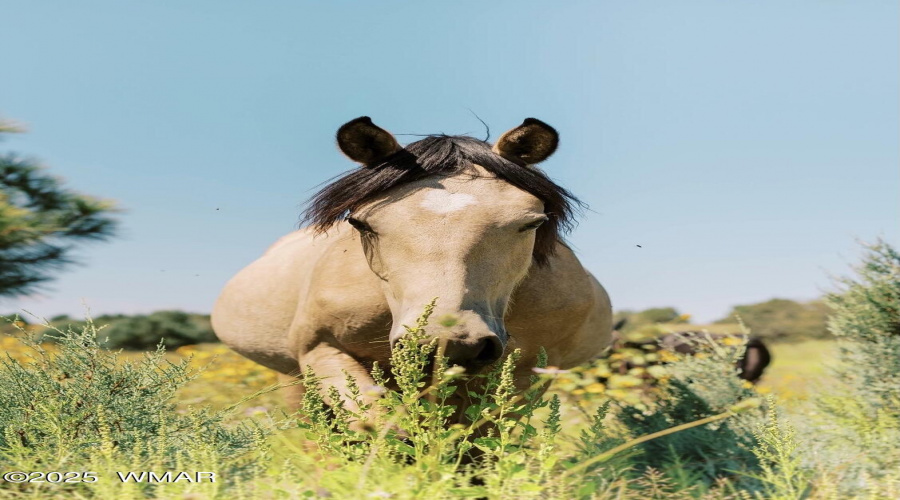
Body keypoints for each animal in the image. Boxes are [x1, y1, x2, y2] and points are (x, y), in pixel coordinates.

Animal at [214, 116, 616, 426]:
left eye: (532, 223)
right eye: (361, 224)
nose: (448, 342)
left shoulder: (528, 373)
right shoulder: (320, 351)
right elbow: (380, 427)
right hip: (294, 378)